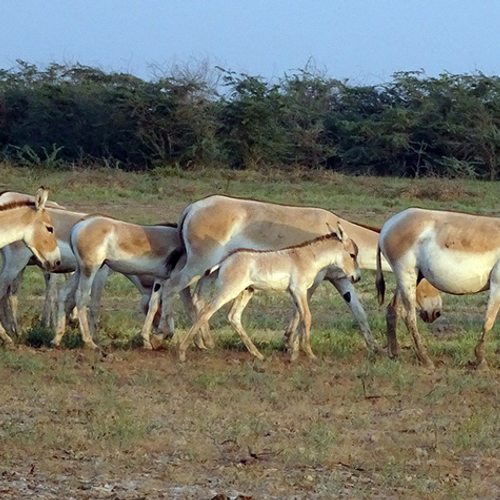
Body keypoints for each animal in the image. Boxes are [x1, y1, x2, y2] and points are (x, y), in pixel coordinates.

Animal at [179, 225, 360, 362]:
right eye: (352, 254)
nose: (357, 278)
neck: (307, 258)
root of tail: (226, 260)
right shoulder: (299, 290)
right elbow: (307, 317)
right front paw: (310, 354)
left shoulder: (296, 293)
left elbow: (299, 317)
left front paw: (294, 354)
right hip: (228, 291)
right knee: (206, 312)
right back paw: (183, 352)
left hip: (246, 292)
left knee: (233, 317)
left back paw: (258, 354)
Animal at [376, 206, 500, 368]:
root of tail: (389, 224)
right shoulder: (497, 285)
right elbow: (488, 321)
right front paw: (480, 361)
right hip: (406, 275)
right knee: (409, 317)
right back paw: (425, 360)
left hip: (411, 278)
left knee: (393, 309)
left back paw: (395, 354)